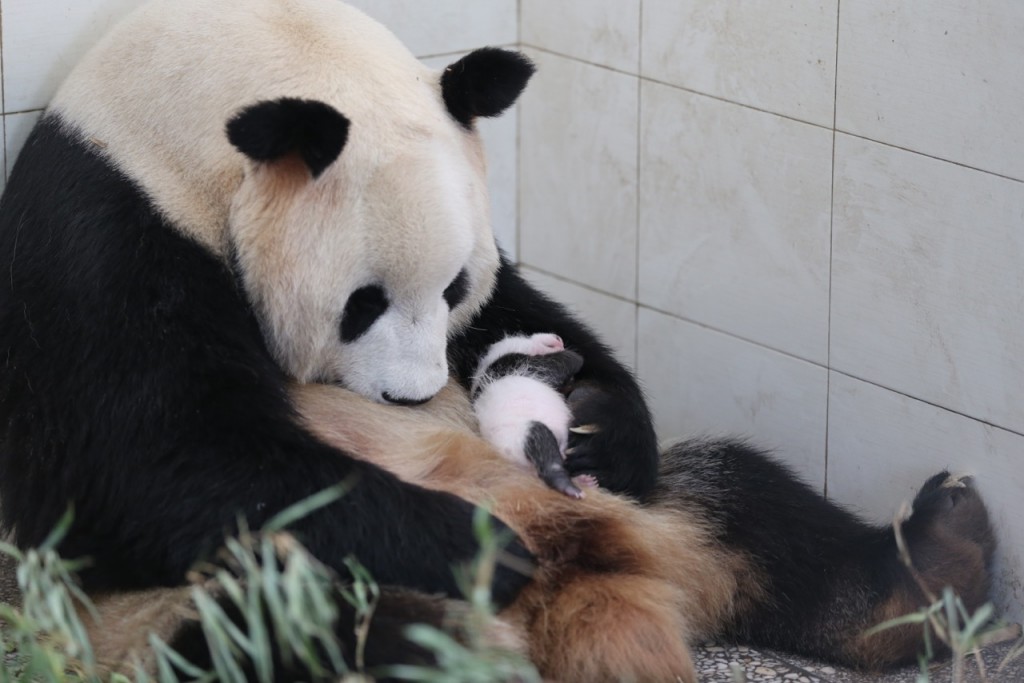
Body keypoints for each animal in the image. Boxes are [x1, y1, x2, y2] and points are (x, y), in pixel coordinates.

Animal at [0, 1, 991, 683]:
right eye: (360, 304)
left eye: (451, 287)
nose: (414, 398)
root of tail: (617, 582)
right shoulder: (102, 241)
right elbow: (163, 465)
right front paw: (483, 541)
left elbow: (527, 307)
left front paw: (599, 419)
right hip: (186, 611)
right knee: (322, 630)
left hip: (657, 503)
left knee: (748, 499)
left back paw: (940, 564)